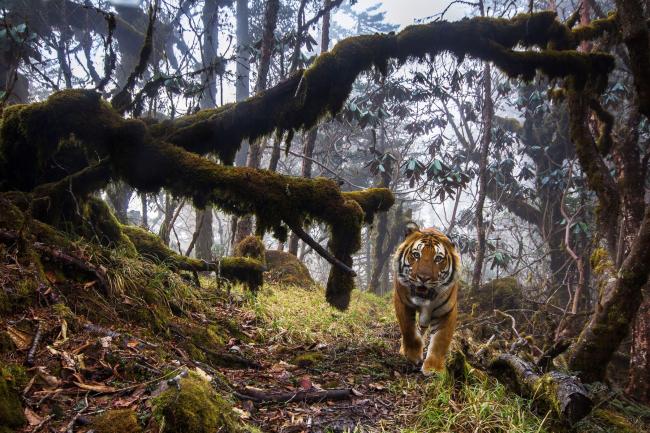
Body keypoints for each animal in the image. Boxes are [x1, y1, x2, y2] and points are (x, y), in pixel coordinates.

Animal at [390, 221, 460, 372]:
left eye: (438, 258)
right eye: (416, 255)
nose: (423, 278)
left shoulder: (446, 311)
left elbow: (441, 340)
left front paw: (433, 368)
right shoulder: (402, 302)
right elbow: (409, 330)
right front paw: (413, 355)